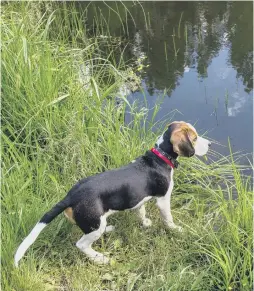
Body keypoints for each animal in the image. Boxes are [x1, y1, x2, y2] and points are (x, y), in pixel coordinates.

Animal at [14, 121, 211, 266]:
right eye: (194, 138)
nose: (209, 143)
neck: (160, 156)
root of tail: (71, 195)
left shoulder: (138, 199)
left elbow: (141, 212)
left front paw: (145, 223)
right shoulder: (163, 199)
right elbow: (168, 218)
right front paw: (175, 229)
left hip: (94, 223)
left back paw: (108, 230)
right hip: (93, 224)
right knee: (82, 244)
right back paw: (99, 258)